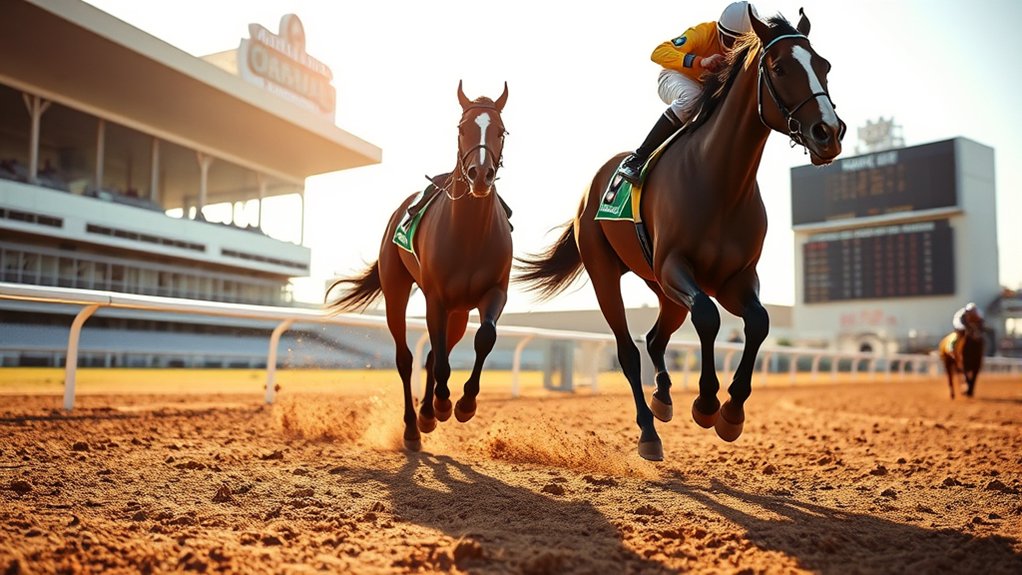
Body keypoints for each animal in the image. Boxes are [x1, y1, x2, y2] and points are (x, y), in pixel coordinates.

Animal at [327, 81, 511, 451]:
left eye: (500, 131)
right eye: (462, 128)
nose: (480, 174)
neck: (469, 234)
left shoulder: (495, 292)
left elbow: (484, 337)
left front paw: (464, 404)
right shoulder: (435, 298)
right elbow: (437, 361)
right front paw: (441, 405)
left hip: (458, 312)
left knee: (433, 355)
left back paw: (428, 414)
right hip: (397, 291)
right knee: (407, 358)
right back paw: (414, 427)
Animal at [516, 7, 844, 461]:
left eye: (824, 66)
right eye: (780, 68)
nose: (828, 132)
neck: (721, 182)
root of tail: (591, 188)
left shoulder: (735, 277)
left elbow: (758, 322)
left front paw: (732, 412)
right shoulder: (676, 266)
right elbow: (707, 317)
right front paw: (707, 403)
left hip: (661, 288)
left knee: (656, 338)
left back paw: (664, 397)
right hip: (607, 274)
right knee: (629, 350)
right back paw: (649, 432)